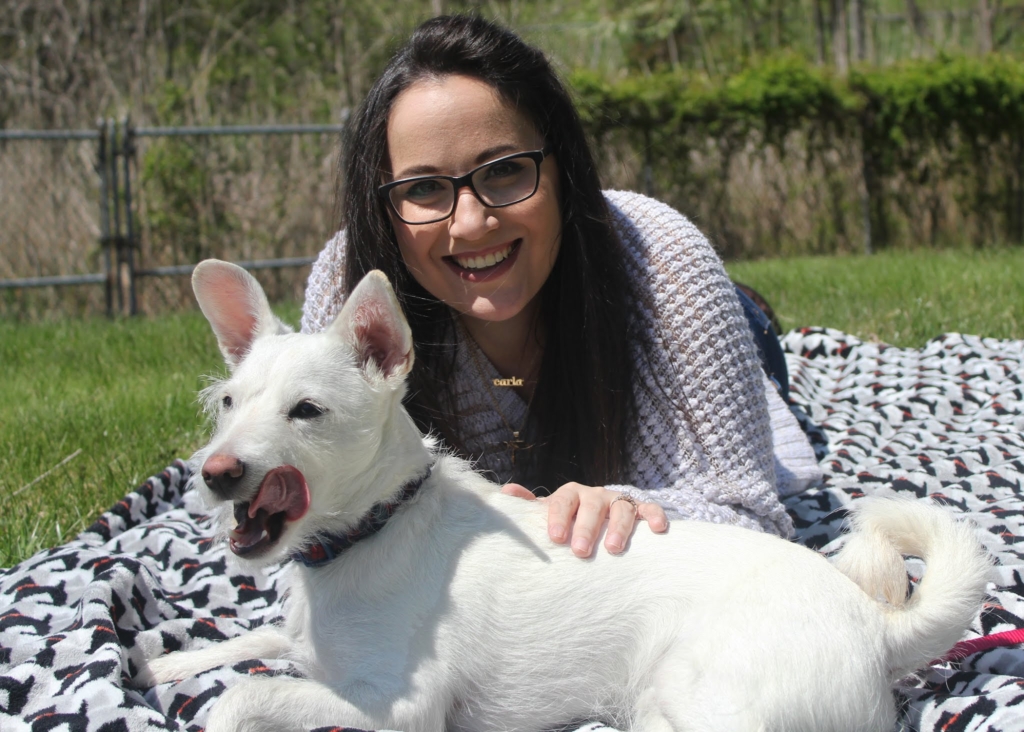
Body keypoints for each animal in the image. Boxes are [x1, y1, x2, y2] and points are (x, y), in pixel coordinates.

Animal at [142, 261, 991, 728]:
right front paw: (164, 664)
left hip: (693, 705)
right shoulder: (307, 645)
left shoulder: (396, 706)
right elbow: (254, 645)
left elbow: (243, 699)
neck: (373, 530)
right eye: (228, 404)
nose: (216, 473)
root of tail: (875, 627)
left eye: (306, 411)